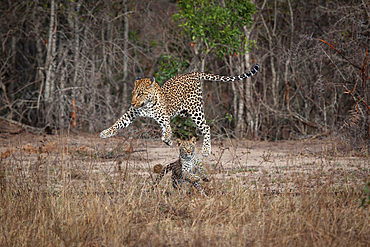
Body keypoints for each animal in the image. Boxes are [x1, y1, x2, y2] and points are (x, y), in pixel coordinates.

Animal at [99, 63, 258, 156]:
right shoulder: (132, 113)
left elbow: (166, 131)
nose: (132, 103)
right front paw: (106, 133)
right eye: (133, 93)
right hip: (185, 113)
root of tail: (192, 73)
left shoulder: (164, 118)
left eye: (140, 93)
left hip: (195, 111)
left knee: (206, 127)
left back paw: (206, 150)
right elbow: (119, 122)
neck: (146, 105)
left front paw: (167, 140)